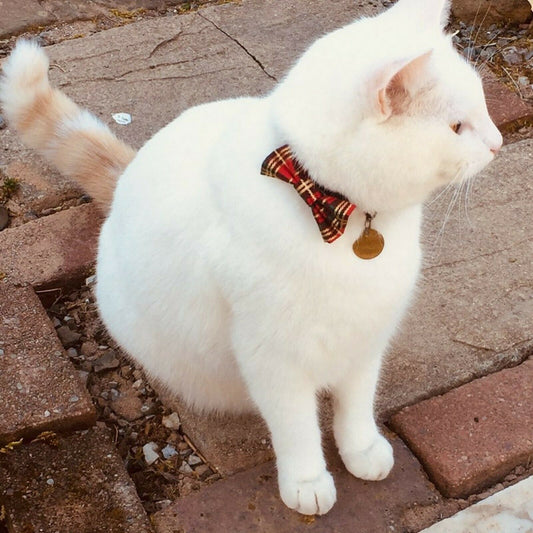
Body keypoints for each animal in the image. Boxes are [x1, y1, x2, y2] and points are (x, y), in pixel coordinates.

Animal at [1, 0, 498, 516]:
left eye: (483, 104)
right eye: (457, 127)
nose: (499, 142)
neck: (335, 212)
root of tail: (125, 177)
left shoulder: (365, 338)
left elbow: (357, 403)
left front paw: (360, 448)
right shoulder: (273, 358)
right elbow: (296, 428)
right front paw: (307, 480)